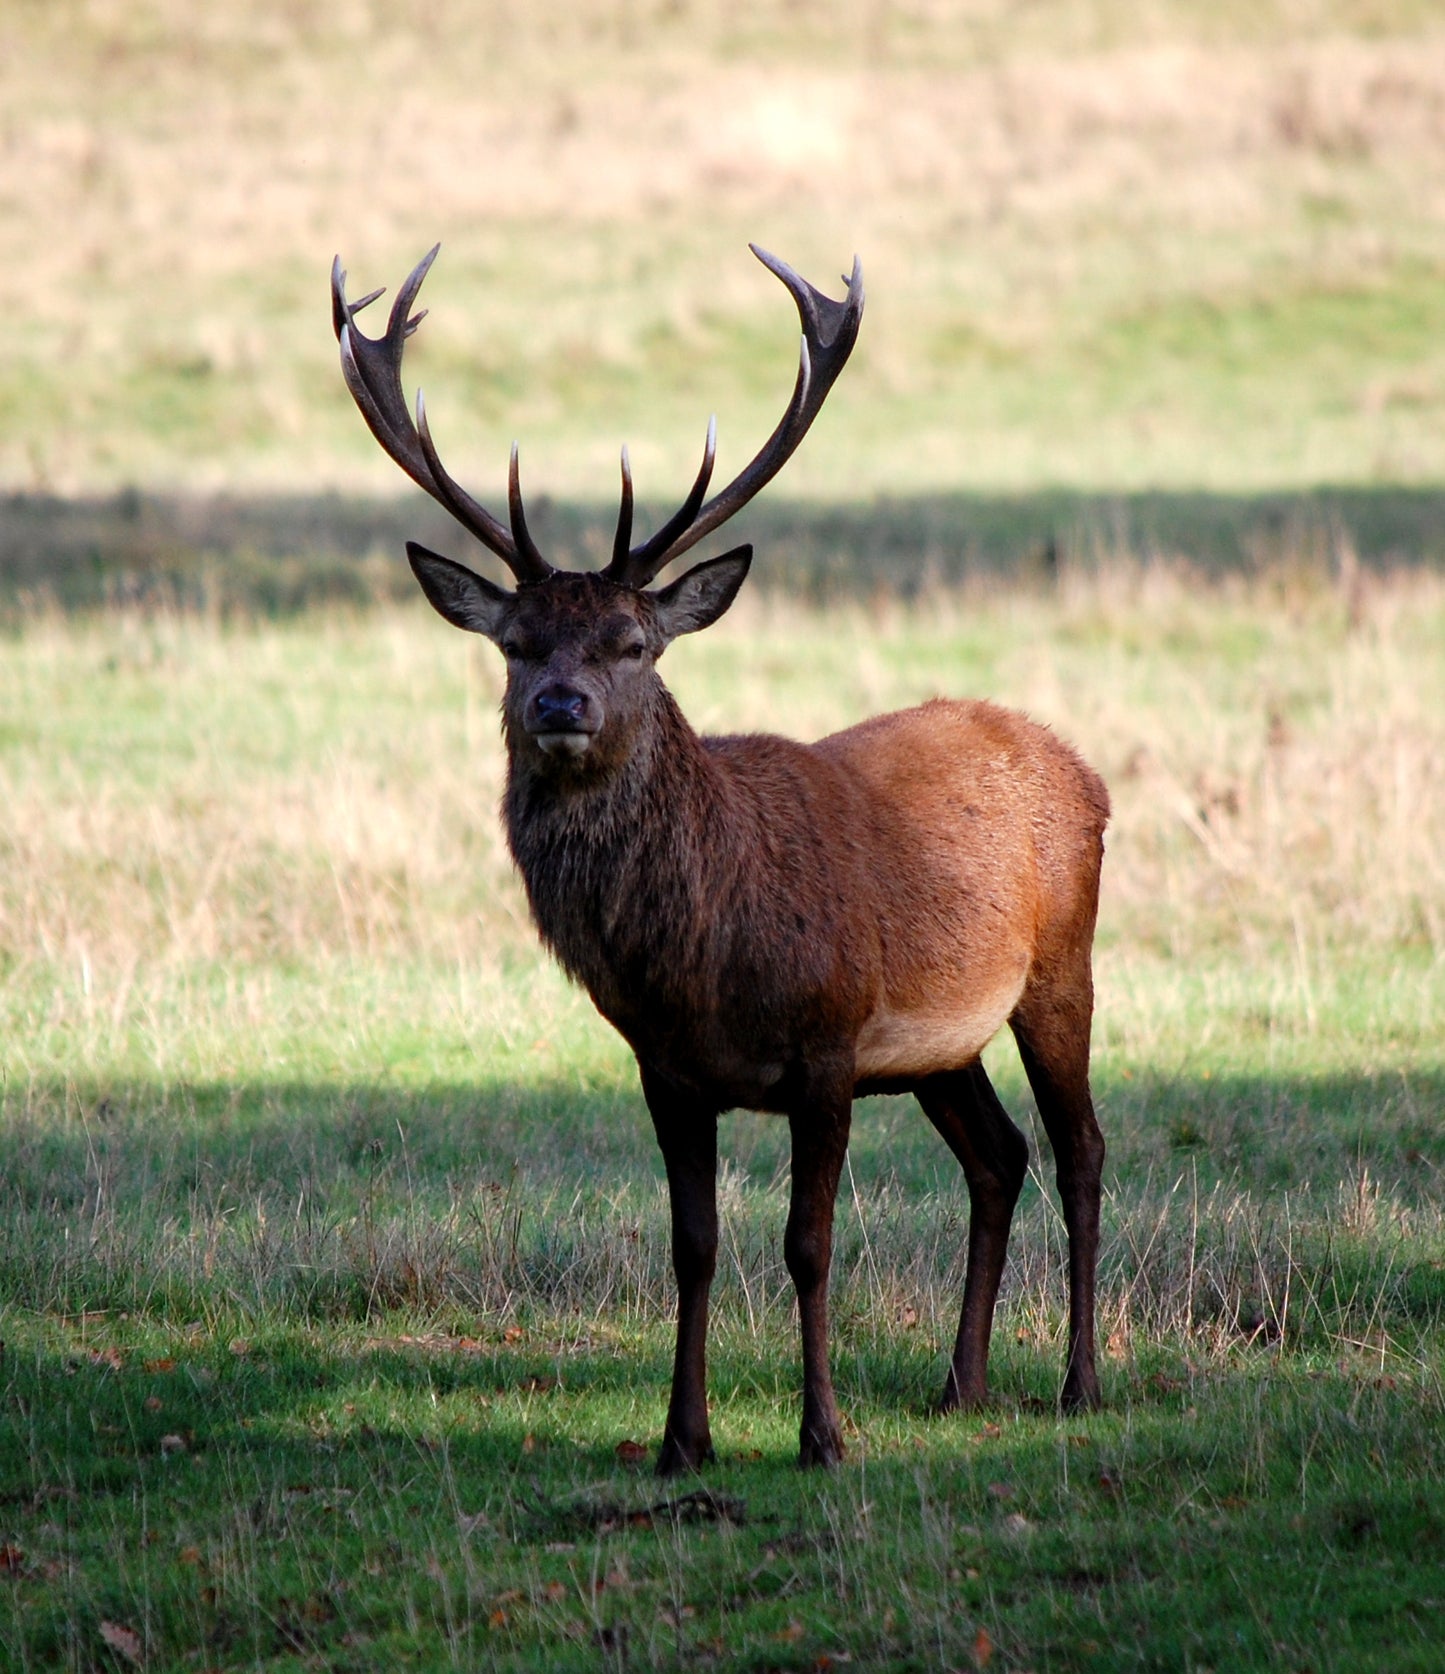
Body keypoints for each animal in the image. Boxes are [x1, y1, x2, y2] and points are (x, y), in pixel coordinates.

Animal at [330, 242, 1110, 1471]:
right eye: (515, 643)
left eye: (633, 643)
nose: (560, 704)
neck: (699, 962)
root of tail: (1080, 768)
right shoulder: (664, 1064)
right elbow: (691, 1243)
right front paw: (680, 1440)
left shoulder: (830, 1043)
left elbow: (806, 1244)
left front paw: (821, 1435)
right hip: (939, 1045)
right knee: (997, 1156)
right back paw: (959, 1386)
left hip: (1060, 962)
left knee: (1078, 1149)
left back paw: (1078, 1383)